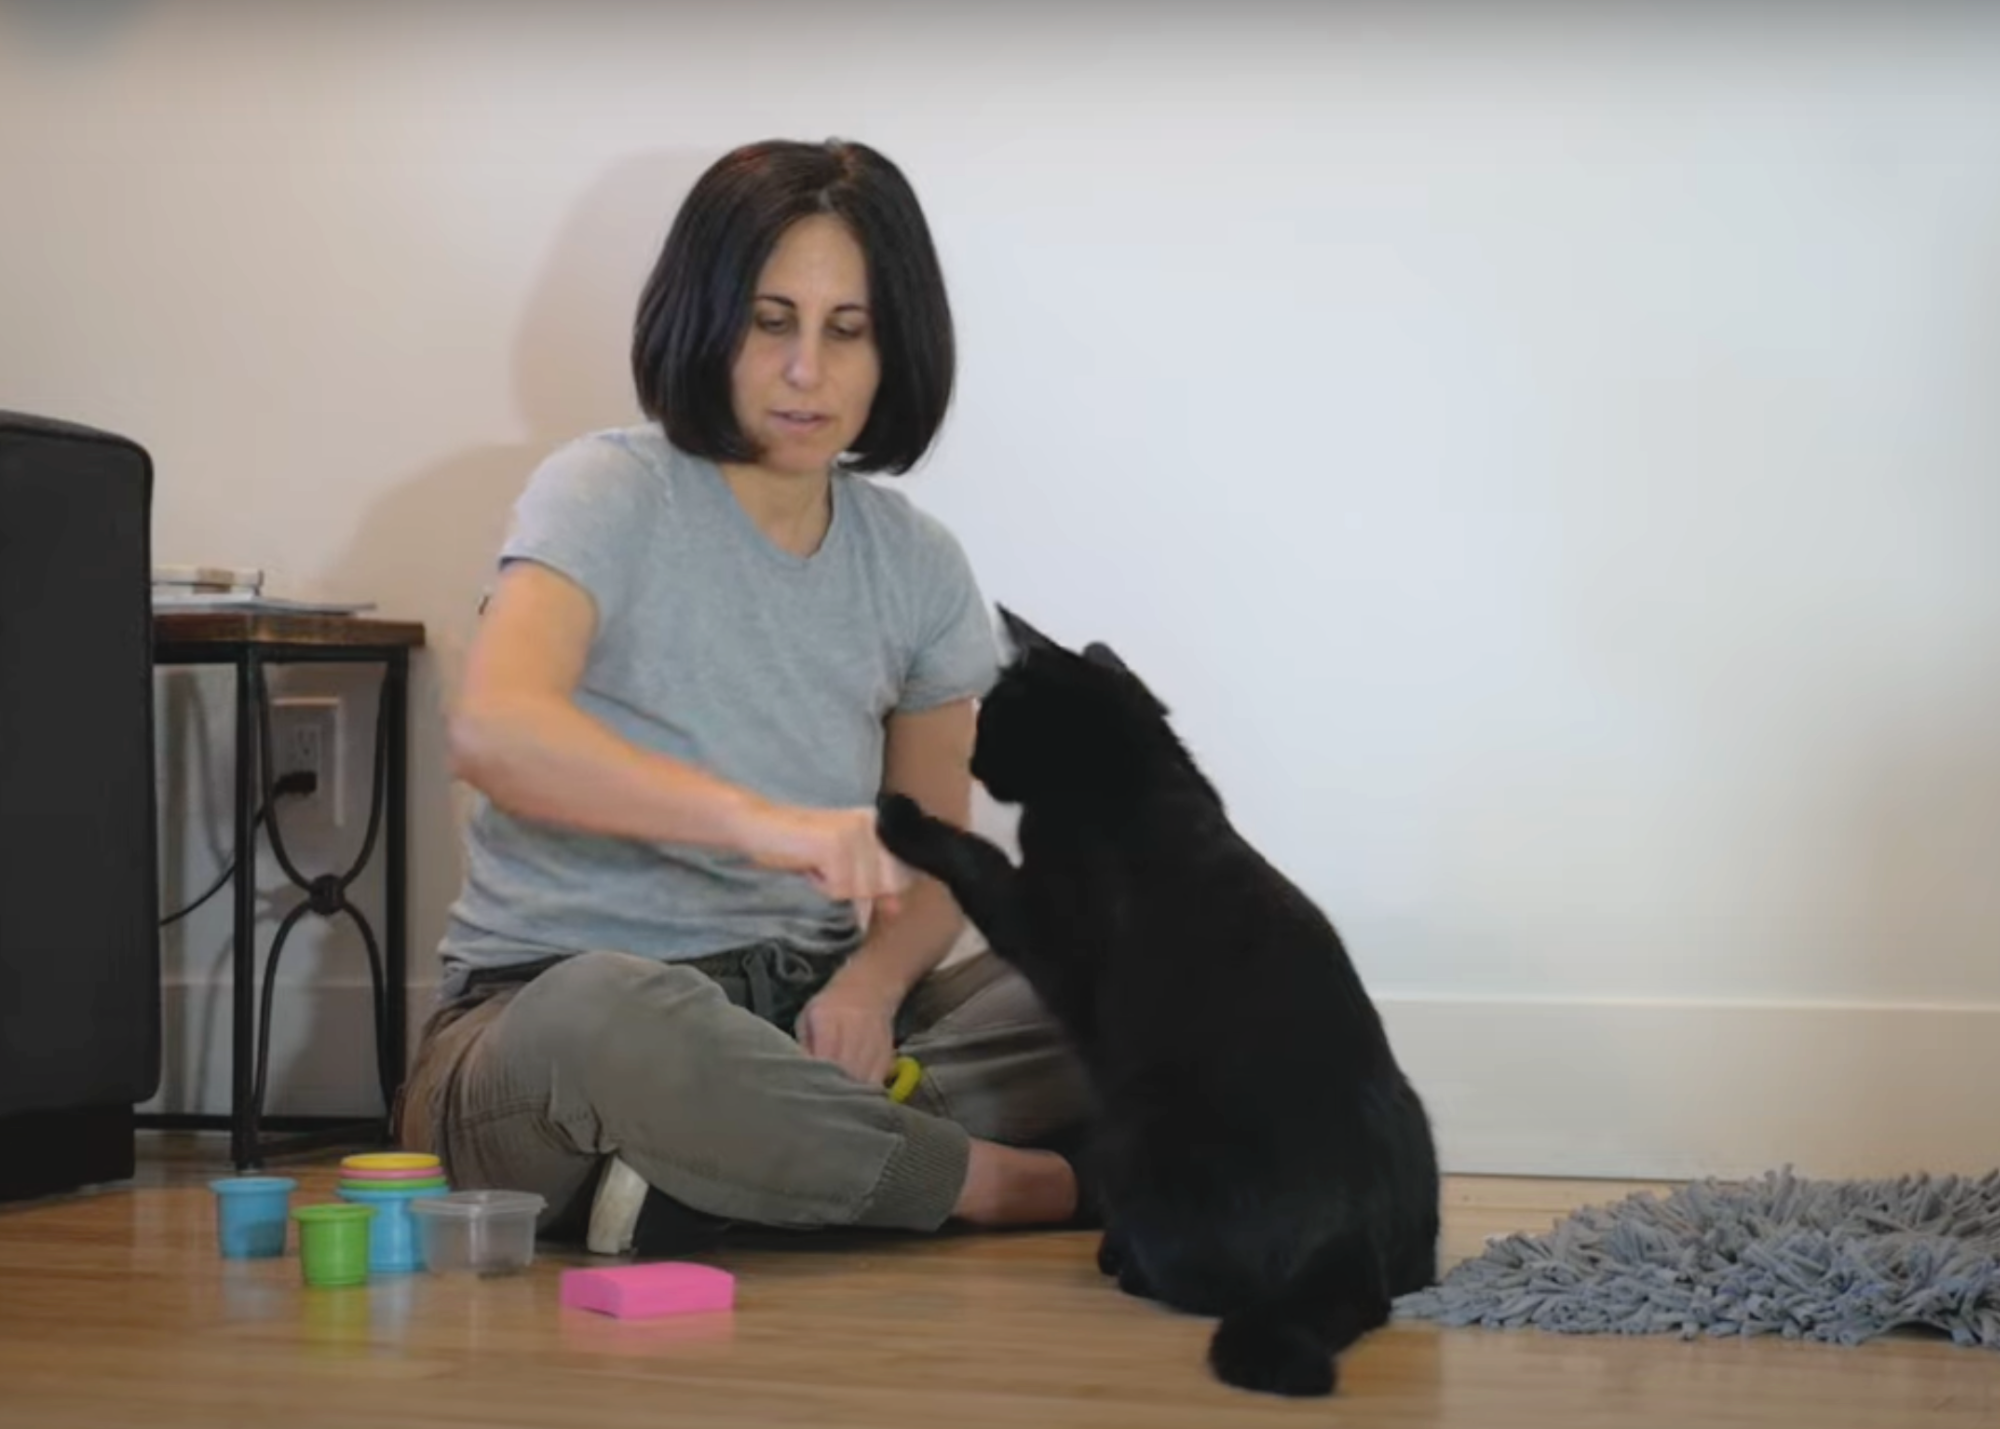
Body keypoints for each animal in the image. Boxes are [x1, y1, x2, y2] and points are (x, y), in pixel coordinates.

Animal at [880, 604, 1440, 1392]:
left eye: (992, 716)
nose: (970, 763)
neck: (1136, 774)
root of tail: (1350, 1230)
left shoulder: (1047, 931)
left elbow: (981, 860)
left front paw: (903, 820)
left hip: (1135, 1128)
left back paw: (1131, 1267)